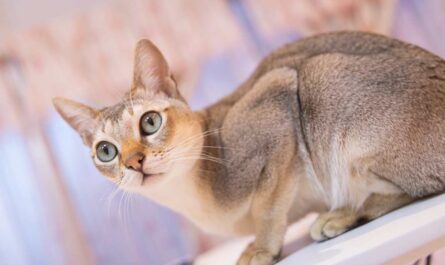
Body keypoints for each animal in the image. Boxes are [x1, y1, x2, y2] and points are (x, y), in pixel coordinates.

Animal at [53, 31, 444, 264]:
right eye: (106, 151)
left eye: (150, 122)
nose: (134, 162)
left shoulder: (276, 98)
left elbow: (268, 209)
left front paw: (262, 249)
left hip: (321, 78)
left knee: (422, 186)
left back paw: (343, 215)